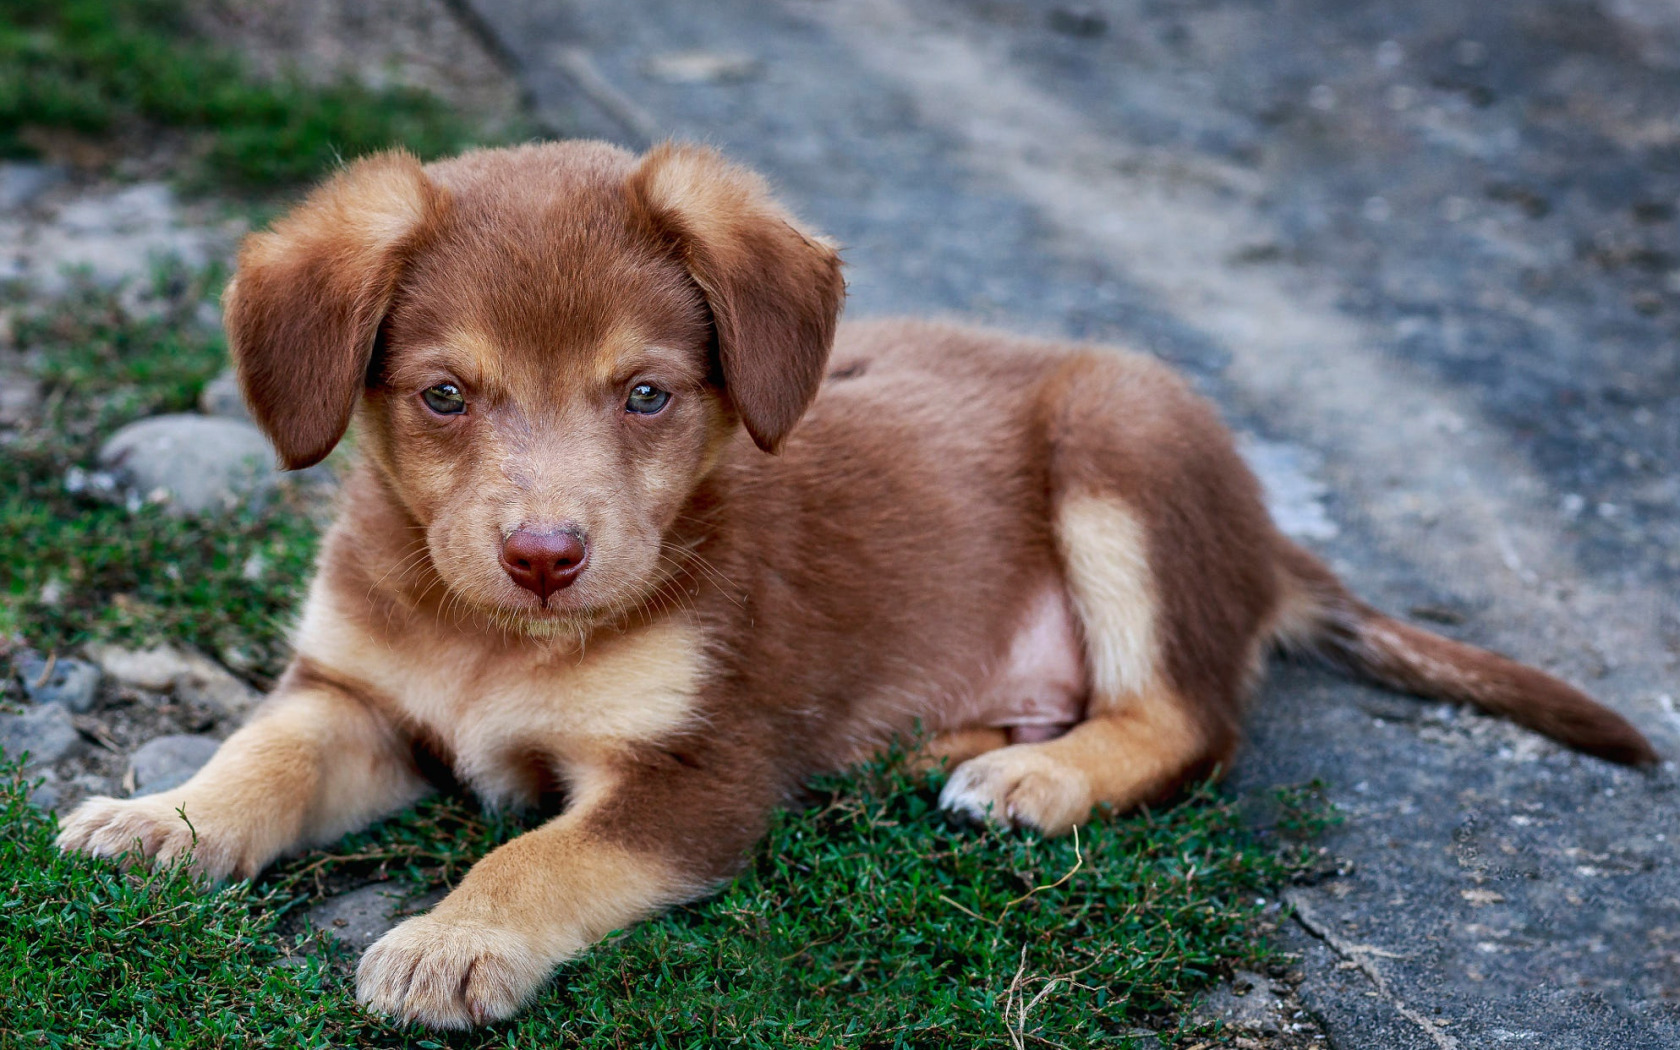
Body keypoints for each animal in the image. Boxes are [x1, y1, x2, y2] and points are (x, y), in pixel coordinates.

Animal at [52, 136, 1653, 1021]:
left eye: (647, 395)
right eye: (446, 396)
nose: (548, 555)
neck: (494, 637)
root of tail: (1268, 529)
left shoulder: (698, 775)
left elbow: (538, 855)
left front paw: (452, 940)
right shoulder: (354, 694)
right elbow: (261, 759)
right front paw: (161, 816)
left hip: (1121, 440)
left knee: (1191, 717)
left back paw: (1036, 778)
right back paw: (943, 749)